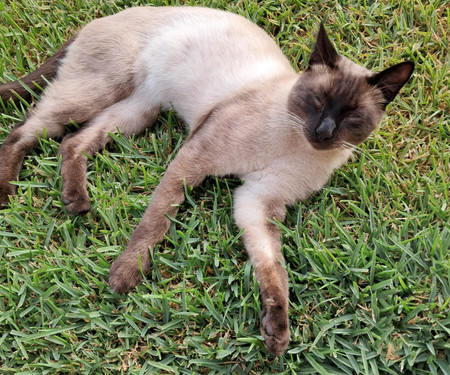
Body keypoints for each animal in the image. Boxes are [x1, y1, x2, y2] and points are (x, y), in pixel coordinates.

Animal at [0, 7, 414, 356]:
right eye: (317, 101)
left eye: (351, 116)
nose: (324, 132)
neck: (296, 146)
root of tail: (104, 17)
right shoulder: (197, 159)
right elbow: (156, 221)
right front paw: (125, 277)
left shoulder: (257, 203)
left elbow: (273, 272)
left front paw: (276, 334)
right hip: (96, 94)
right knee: (25, 130)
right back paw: (7, 193)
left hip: (137, 112)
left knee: (71, 142)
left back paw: (76, 202)